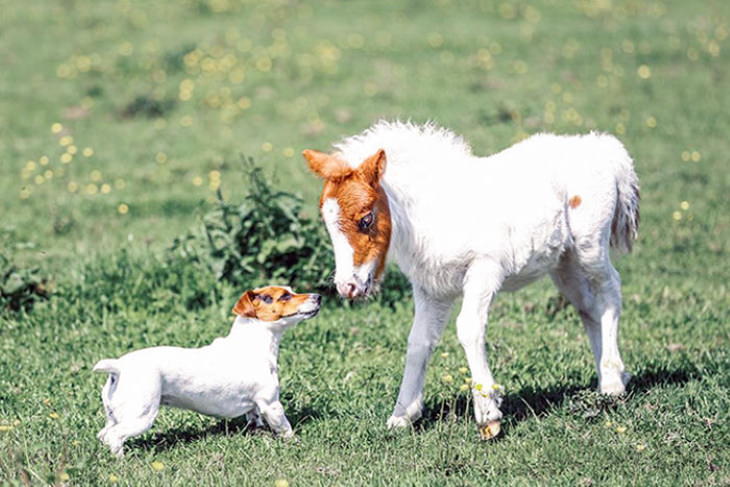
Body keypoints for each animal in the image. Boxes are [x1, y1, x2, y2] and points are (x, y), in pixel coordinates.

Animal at [92, 286, 320, 458]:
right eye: (284, 295)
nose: (319, 296)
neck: (253, 344)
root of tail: (119, 367)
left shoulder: (255, 407)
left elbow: (255, 422)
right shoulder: (271, 404)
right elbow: (285, 428)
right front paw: (296, 442)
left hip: (115, 415)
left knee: (103, 434)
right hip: (141, 416)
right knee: (115, 436)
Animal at [302, 121, 636, 438]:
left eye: (366, 219)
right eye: (328, 225)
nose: (348, 286)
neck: (434, 213)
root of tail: (603, 146)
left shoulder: (485, 270)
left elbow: (468, 329)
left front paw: (489, 416)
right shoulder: (431, 289)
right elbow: (418, 341)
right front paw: (402, 416)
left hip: (589, 247)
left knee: (610, 292)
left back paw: (612, 383)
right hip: (564, 264)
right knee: (588, 307)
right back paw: (609, 378)